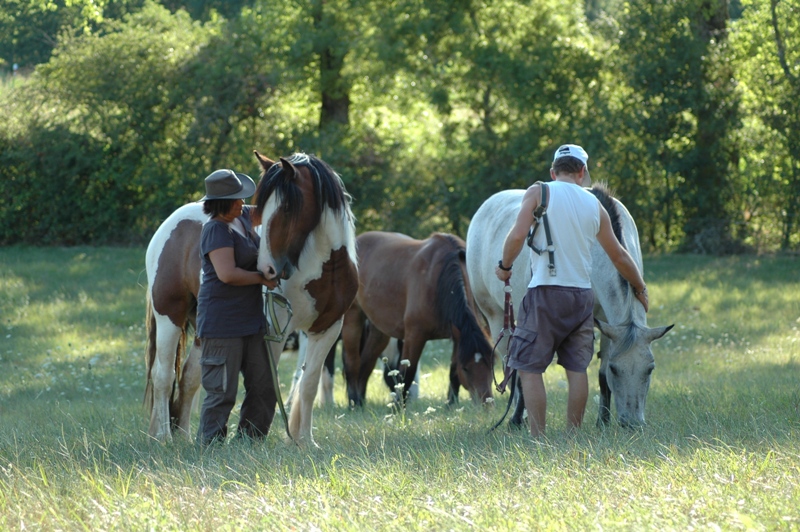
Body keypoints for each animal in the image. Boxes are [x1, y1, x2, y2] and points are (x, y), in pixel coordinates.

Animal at [144, 151, 356, 444]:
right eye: (261, 210)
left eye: (287, 208)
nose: (267, 269)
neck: (322, 269)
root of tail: (172, 224)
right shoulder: (276, 329)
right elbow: (269, 379)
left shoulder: (328, 329)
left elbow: (309, 384)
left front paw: (304, 441)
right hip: (169, 317)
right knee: (163, 376)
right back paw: (164, 437)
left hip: (204, 327)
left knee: (189, 377)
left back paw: (184, 438)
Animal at [342, 232, 496, 408]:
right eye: (465, 368)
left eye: (492, 364)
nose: (487, 405)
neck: (437, 279)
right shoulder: (414, 336)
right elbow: (407, 374)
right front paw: (398, 408)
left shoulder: (457, 336)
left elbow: (452, 373)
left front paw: (451, 405)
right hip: (353, 318)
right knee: (352, 363)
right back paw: (354, 403)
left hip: (379, 330)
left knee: (366, 363)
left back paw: (361, 403)